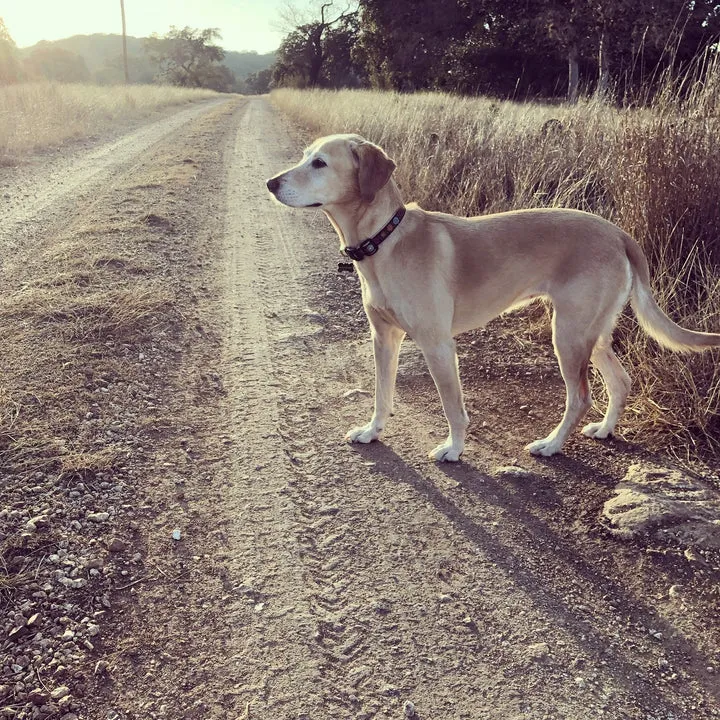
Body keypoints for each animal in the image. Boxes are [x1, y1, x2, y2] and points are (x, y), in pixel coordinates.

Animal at [268, 135, 720, 462]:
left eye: (320, 163)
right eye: (305, 157)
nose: (271, 183)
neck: (384, 239)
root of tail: (618, 232)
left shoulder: (437, 345)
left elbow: (452, 406)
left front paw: (454, 449)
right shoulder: (384, 339)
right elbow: (382, 393)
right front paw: (372, 431)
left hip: (569, 335)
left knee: (580, 397)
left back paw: (551, 445)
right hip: (591, 334)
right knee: (620, 381)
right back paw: (606, 429)